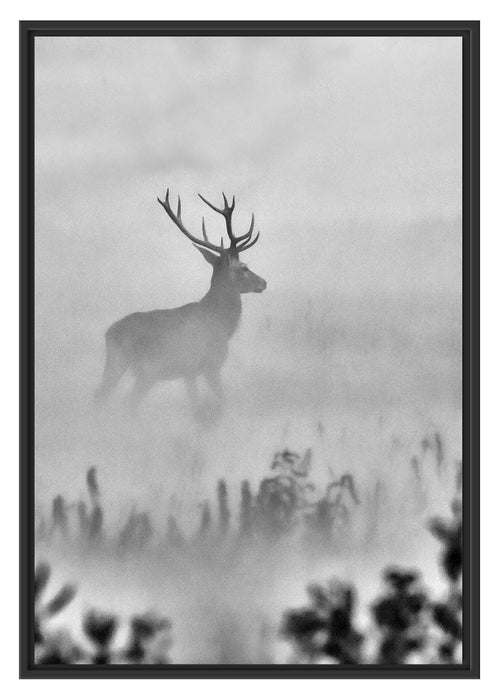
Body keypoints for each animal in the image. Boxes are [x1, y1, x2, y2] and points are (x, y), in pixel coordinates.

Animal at [95, 189, 266, 417]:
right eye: (245, 267)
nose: (263, 282)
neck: (221, 322)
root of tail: (109, 333)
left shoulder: (189, 372)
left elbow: (195, 405)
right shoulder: (210, 364)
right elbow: (221, 401)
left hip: (125, 366)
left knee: (108, 398)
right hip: (140, 367)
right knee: (117, 401)